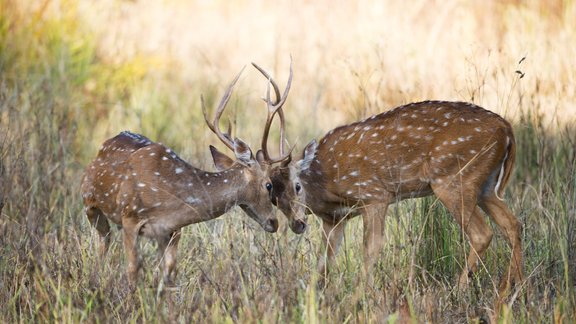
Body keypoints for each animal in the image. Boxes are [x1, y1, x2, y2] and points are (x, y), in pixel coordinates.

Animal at [81, 69, 280, 288]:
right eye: (269, 185)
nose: (274, 222)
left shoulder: (173, 231)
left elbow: (169, 275)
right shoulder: (130, 217)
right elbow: (132, 270)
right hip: (90, 203)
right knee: (103, 242)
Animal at [237, 64, 520, 292]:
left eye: (297, 186)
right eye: (273, 197)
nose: (297, 224)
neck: (326, 184)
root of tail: (506, 129)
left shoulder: (374, 195)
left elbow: (370, 249)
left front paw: (362, 296)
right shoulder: (335, 219)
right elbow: (324, 262)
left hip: (453, 179)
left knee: (482, 233)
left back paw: (461, 290)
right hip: (485, 185)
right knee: (512, 225)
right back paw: (511, 288)